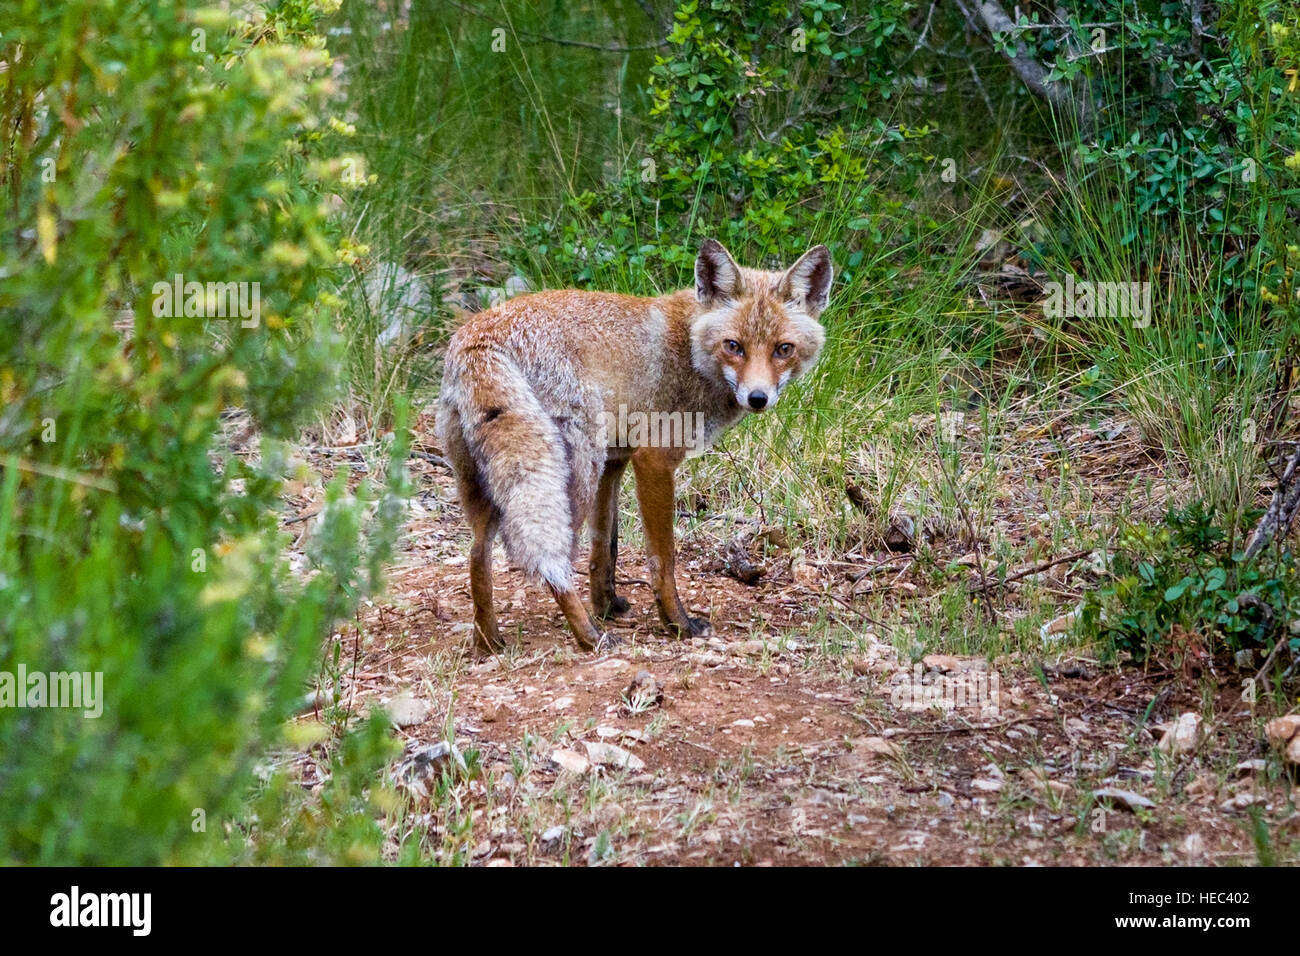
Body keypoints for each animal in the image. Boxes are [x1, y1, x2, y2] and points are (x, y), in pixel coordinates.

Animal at [436, 240, 832, 658]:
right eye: (734, 346)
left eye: (783, 349)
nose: (758, 398)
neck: (691, 350)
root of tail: (479, 335)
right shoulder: (654, 461)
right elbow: (662, 560)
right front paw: (677, 623)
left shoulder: (616, 461)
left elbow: (603, 549)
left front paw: (607, 605)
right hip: (573, 473)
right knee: (554, 565)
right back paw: (589, 636)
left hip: (494, 482)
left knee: (477, 556)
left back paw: (488, 641)